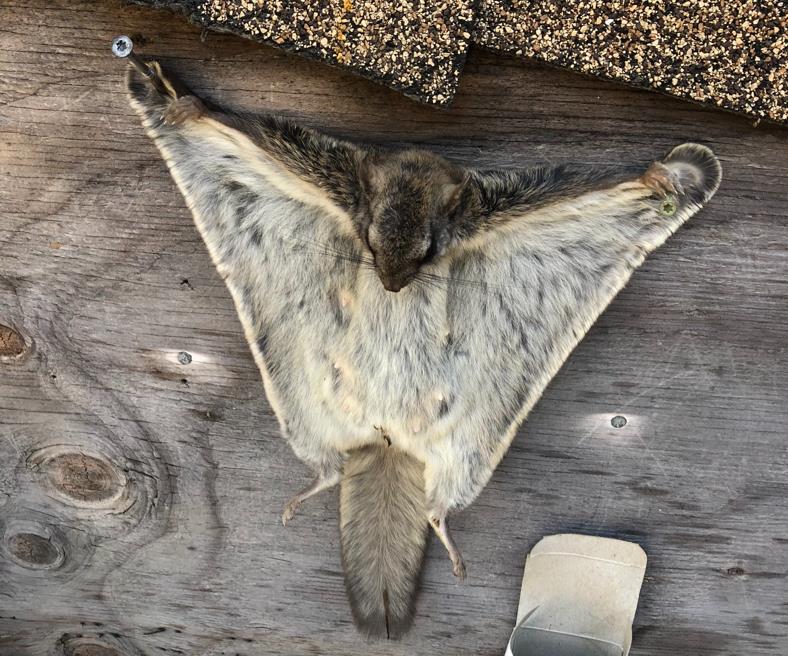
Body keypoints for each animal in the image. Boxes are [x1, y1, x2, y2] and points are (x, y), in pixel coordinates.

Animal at [125, 61, 721, 638]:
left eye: (429, 251)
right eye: (368, 241)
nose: (392, 287)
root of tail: (386, 438)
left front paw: (661, 175)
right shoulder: (329, 173)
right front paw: (181, 103)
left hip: (468, 447)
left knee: (435, 509)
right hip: (308, 407)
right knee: (329, 473)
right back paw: (305, 496)